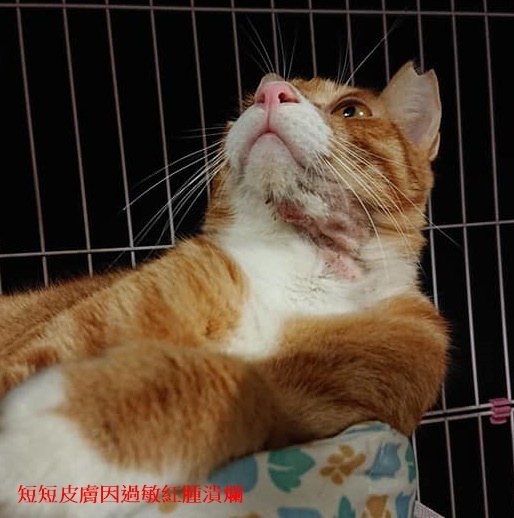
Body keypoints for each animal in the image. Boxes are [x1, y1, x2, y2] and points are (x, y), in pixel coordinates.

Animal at [0, 61, 449, 517]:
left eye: (351, 110)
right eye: (248, 101)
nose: (271, 95)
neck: (302, 270)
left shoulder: (325, 396)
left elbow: (237, 382)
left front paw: (52, 440)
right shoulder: (69, 333)